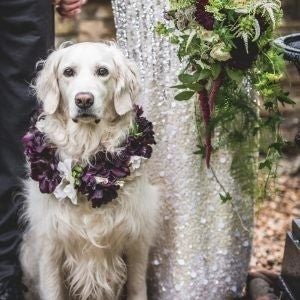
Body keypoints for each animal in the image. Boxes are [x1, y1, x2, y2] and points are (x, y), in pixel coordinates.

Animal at [20, 41, 159, 300]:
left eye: (103, 71)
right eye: (68, 72)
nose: (84, 99)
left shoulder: (136, 242)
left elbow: (137, 288)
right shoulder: (50, 246)